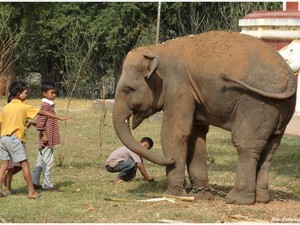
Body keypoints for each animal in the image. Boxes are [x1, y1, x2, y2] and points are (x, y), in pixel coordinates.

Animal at [112, 30, 298, 205]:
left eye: (128, 90)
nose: (171, 160)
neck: (158, 49)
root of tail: (290, 79)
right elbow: (196, 136)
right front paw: (201, 196)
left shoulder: (178, 87)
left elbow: (174, 133)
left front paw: (174, 196)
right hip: (281, 107)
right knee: (270, 147)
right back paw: (261, 199)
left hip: (257, 103)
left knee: (246, 145)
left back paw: (236, 200)